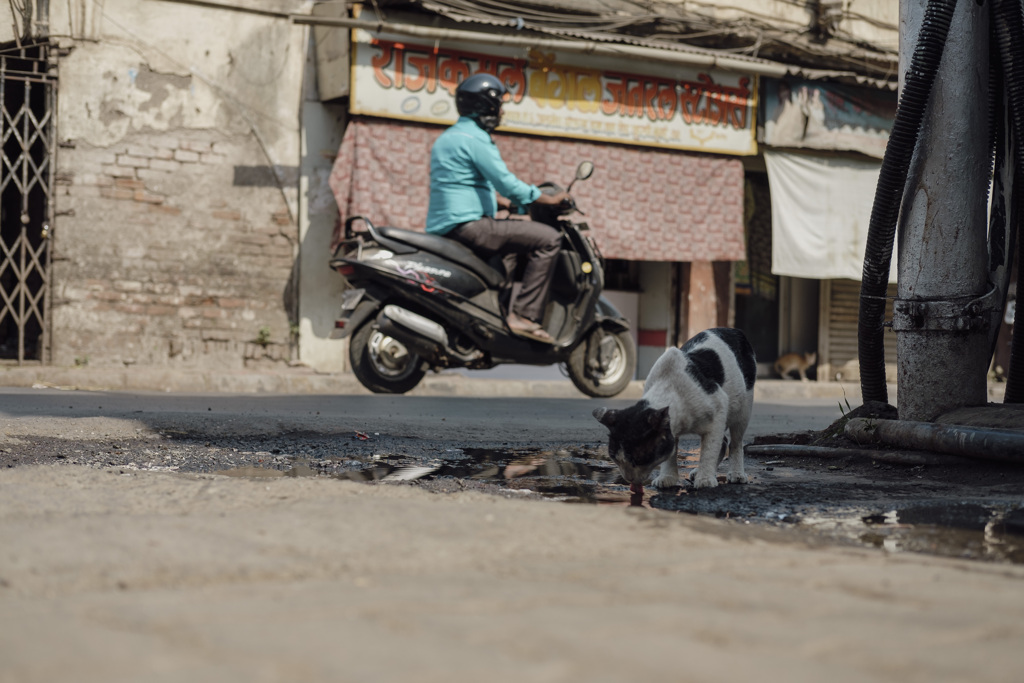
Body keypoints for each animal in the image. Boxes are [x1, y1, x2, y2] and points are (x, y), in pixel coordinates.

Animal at [593, 327, 761, 489]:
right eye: (615, 459)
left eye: (638, 460)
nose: (628, 478)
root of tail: (733, 330)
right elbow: (672, 451)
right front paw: (668, 478)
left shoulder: (719, 405)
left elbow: (709, 449)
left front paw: (705, 479)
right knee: (724, 441)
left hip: (743, 408)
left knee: (735, 442)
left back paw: (736, 474)